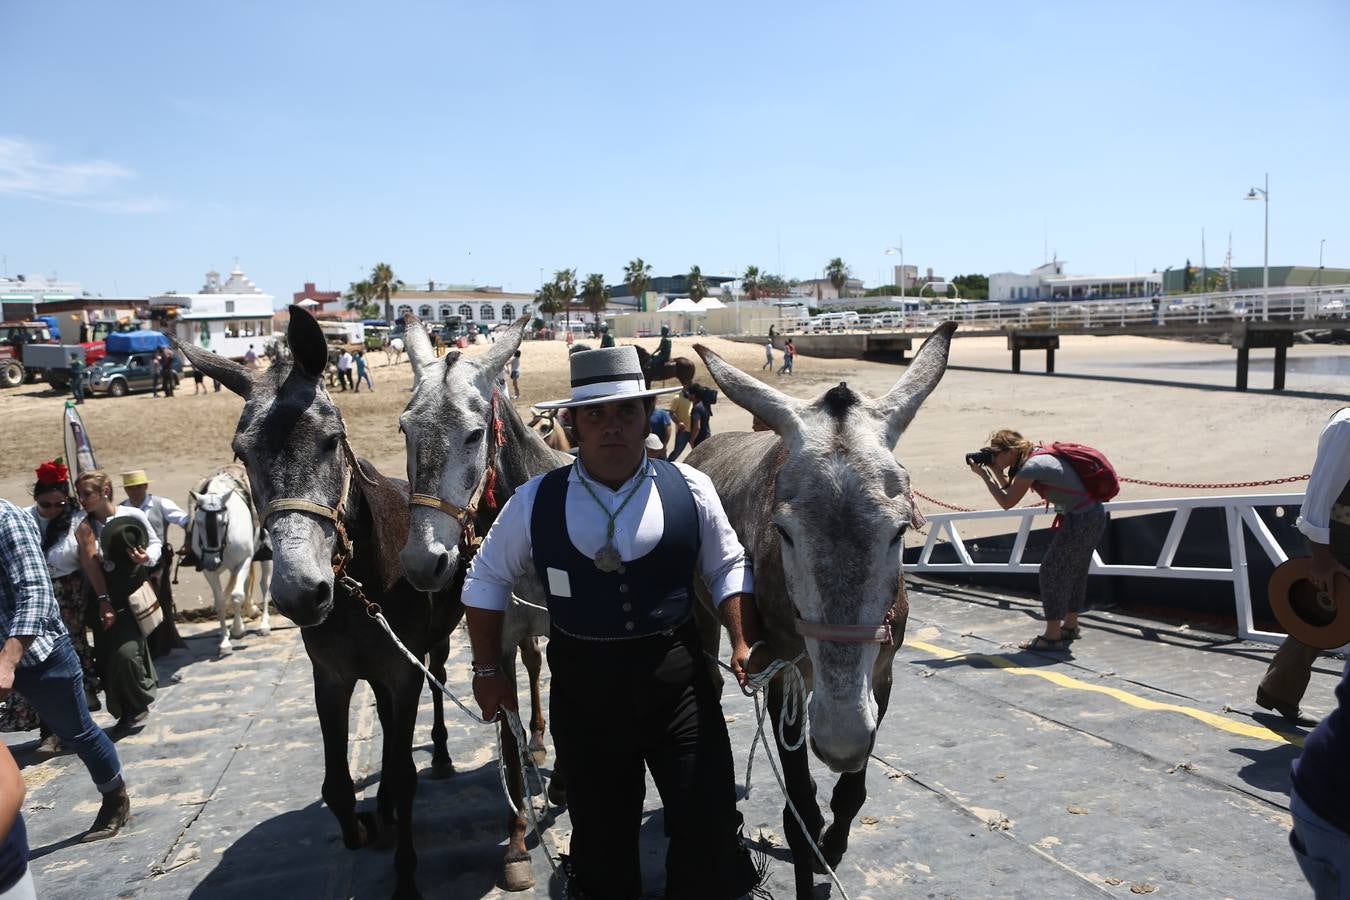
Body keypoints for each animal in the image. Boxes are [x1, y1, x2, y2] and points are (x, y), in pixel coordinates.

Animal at [190, 472, 271, 655]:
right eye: (198, 522)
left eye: (223, 522)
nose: (211, 561)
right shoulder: (210, 572)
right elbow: (220, 601)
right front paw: (225, 641)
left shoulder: (243, 561)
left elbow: (236, 595)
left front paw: (238, 629)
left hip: (266, 557)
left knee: (264, 585)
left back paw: (264, 624)